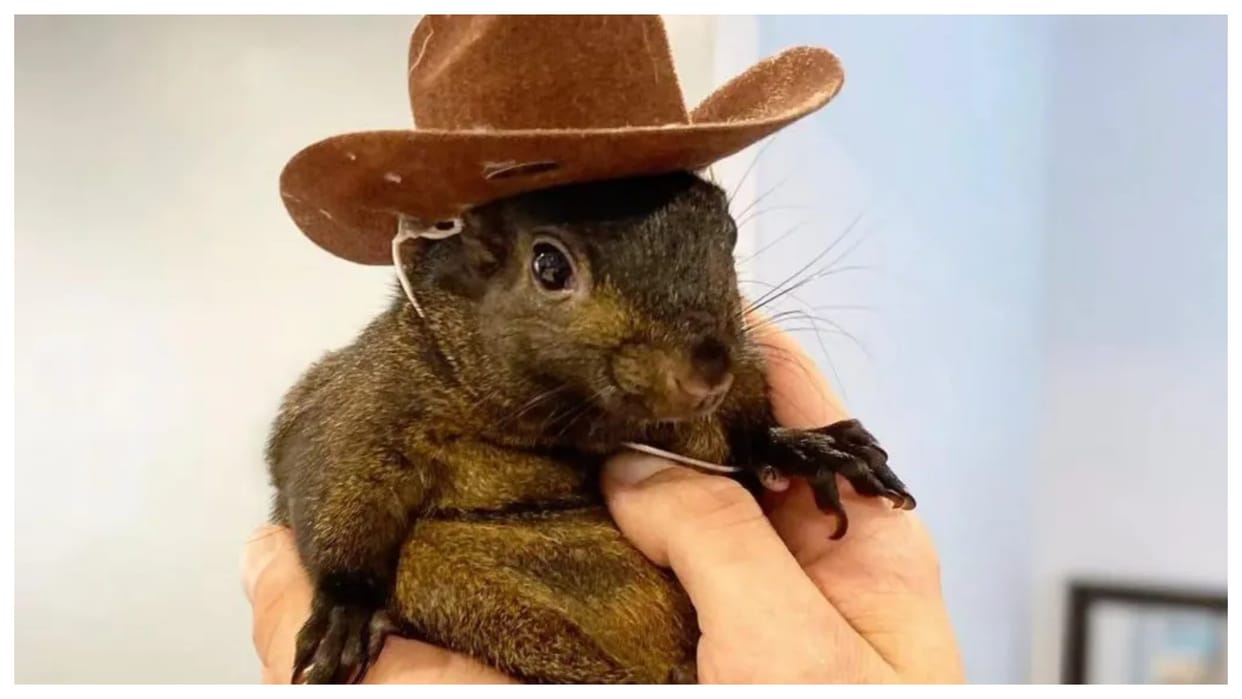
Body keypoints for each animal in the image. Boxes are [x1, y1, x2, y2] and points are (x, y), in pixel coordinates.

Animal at [264, 170, 916, 684]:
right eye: (549, 265)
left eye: (727, 232)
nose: (710, 368)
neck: (573, 424)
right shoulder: (365, 401)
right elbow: (331, 480)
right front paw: (345, 611)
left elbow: (747, 436)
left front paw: (809, 447)